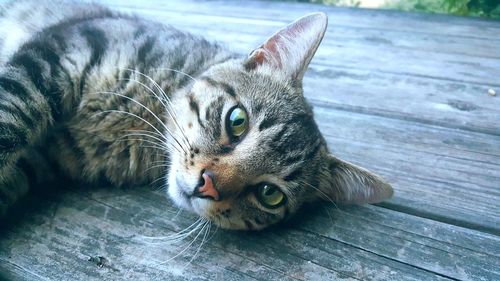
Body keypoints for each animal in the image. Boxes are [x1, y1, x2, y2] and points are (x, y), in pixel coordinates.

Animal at [0, 0, 392, 230]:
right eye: (237, 121)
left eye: (270, 194)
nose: (208, 185)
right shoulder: (69, 46)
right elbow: (11, 114)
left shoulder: (44, 158)